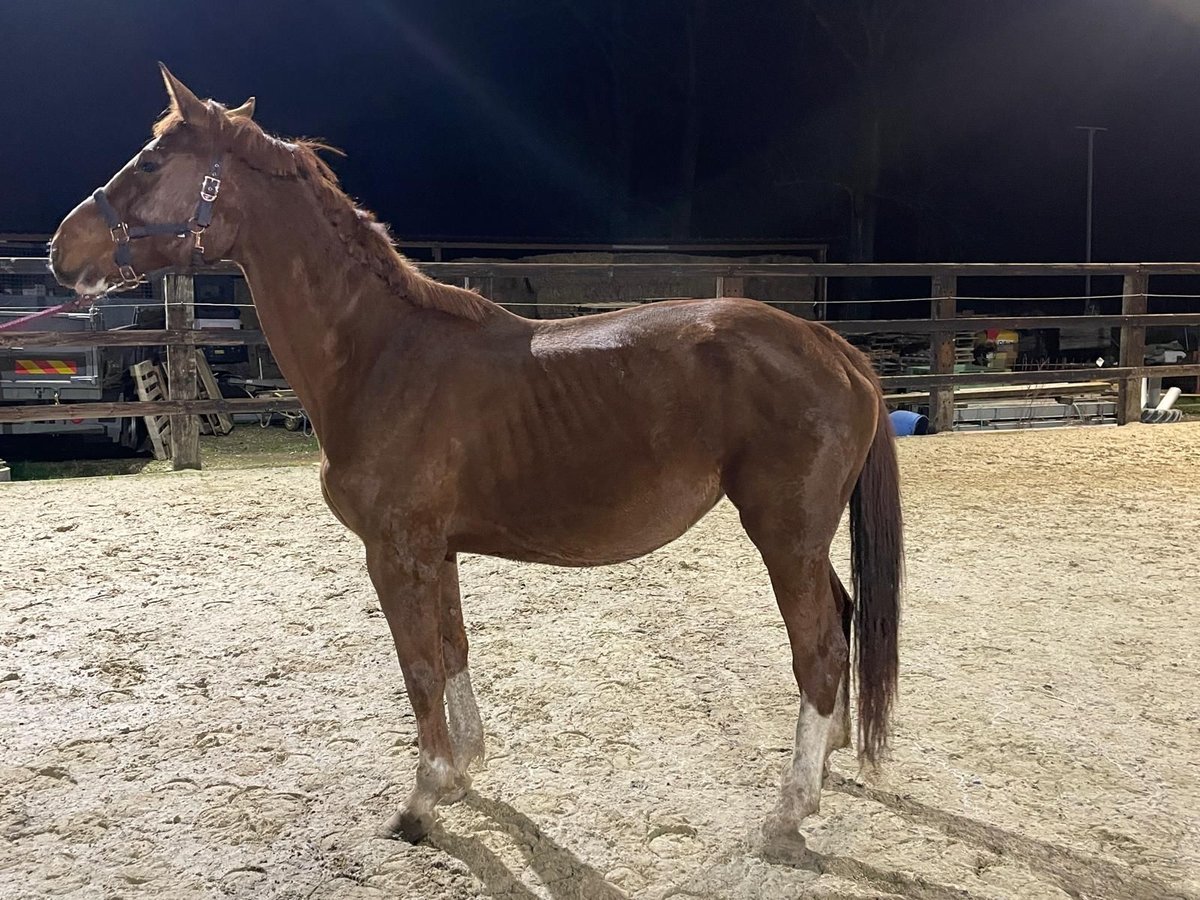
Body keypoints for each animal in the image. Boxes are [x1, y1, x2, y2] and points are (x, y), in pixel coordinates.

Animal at [54, 66, 902, 849]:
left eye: (151, 162)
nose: (64, 250)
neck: (380, 353)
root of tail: (832, 346)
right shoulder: (440, 551)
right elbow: (454, 649)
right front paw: (464, 771)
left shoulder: (393, 554)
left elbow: (420, 667)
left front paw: (423, 796)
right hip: (805, 538)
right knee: (843, 616)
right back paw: (826, 760)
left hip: (783, 535)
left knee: (819, 650)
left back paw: (791, 807)